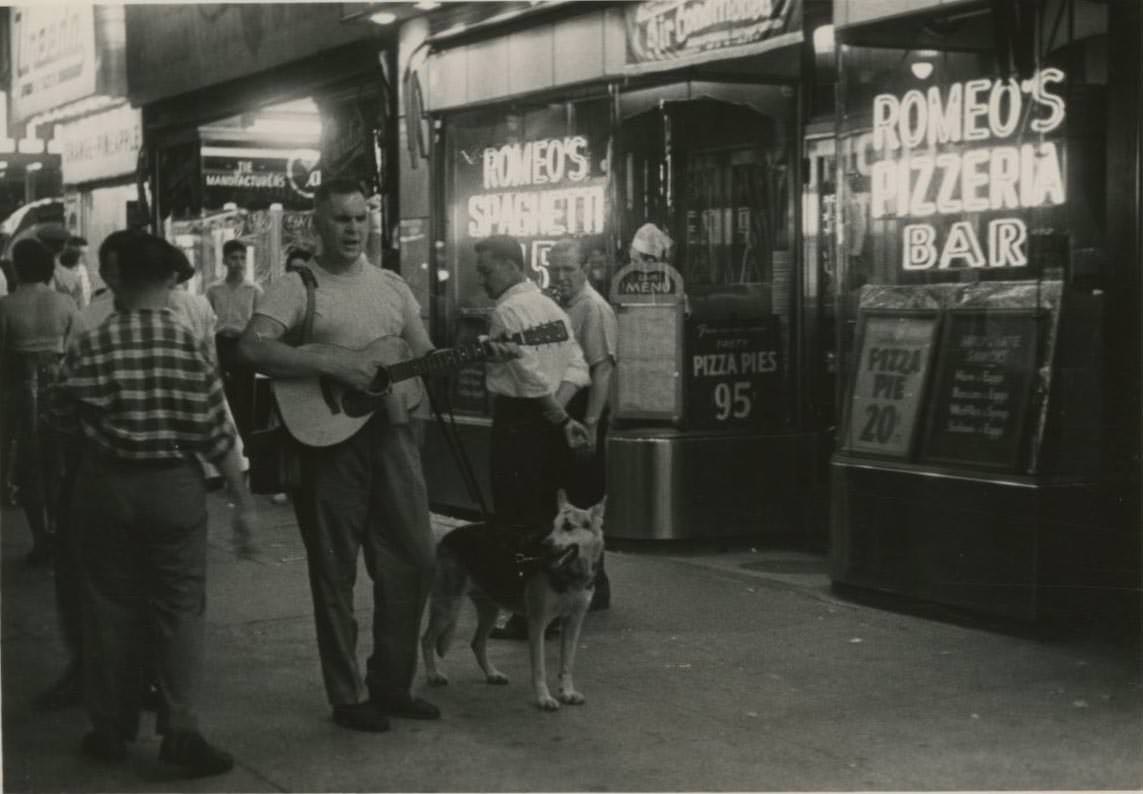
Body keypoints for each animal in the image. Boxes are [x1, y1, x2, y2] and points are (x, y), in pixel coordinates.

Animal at [422, 493, 608, 712]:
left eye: (569, 526)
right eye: (553, 526)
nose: (545, 544)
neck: (571, 574)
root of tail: (448, 537)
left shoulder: (573, 623)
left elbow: (567, 664)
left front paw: (567, 692)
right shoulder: (537, 623)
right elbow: (539, 668)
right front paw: (543, 698)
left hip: (489, 612)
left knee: (477, 643)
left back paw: (492, 674)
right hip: (447, 609)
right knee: (426, 640)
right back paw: (433, 675)